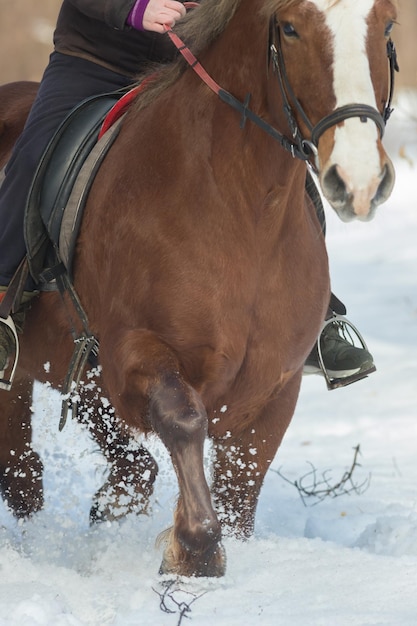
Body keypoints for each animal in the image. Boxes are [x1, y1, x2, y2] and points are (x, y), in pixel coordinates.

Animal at [0, 0, 396, 576]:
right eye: (291, 28)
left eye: (385, 25)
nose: (358, 180)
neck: (241, 209)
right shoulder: (135, 356)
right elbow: (183, 420)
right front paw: (194, 548)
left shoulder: (274, 389)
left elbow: (240, 493)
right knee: (22, 473)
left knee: (122, 470)